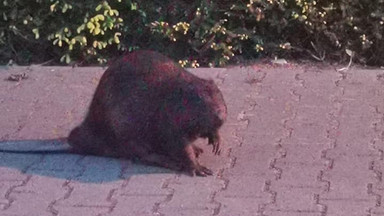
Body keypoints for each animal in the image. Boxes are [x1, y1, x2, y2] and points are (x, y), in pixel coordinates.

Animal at [67, 49, 226, 176]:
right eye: (199, 99)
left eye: (219, 93)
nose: (220, 115)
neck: (171, 94)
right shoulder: (167, 118)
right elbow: (179, 144)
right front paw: (199, 168)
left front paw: (216, 140)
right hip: (126, 131)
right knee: (141, 154)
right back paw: (170, 161)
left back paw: (197, 148)